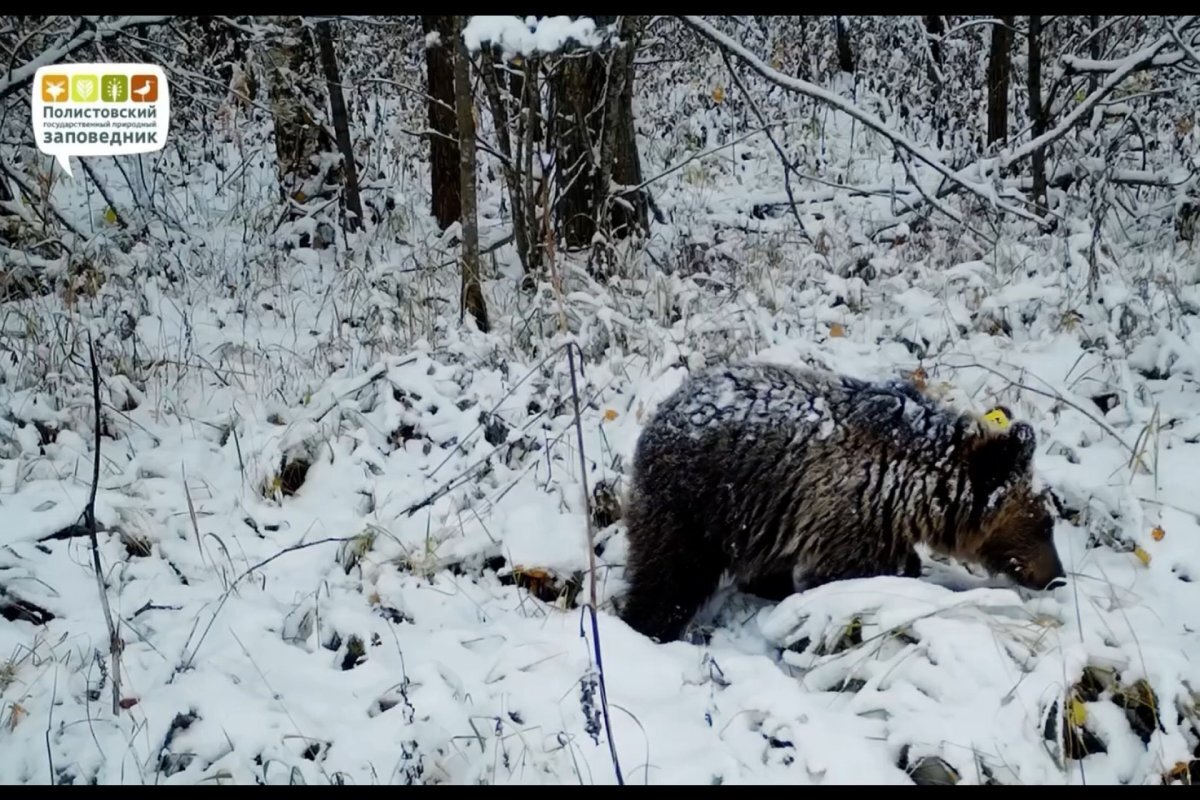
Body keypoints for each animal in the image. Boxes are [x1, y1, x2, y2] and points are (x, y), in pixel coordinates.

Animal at [619, 362, 1070, 642]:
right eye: (1044, 523)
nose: (1058, 577)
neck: (912, 486)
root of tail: (663, 408)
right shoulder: (850, 514)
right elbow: (846, 578)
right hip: (698, 503)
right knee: (670, 575)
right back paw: (648, 628)